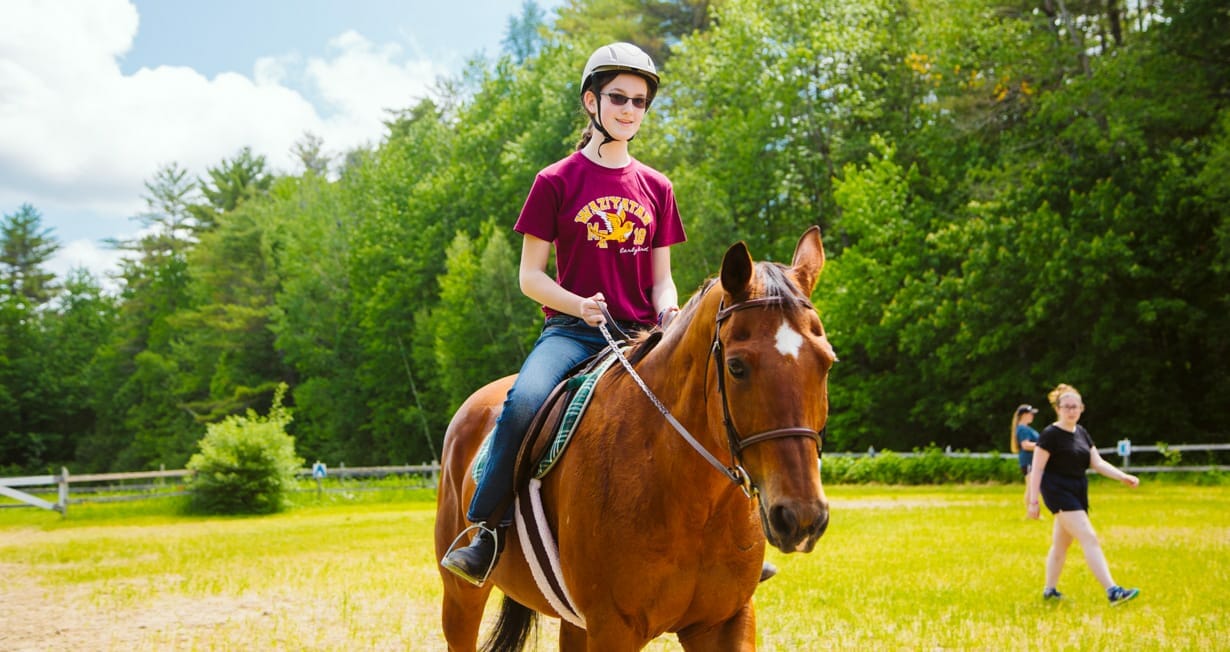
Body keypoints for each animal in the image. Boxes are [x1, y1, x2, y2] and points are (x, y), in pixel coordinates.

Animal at [435, 226, 836, 644]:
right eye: (736, 367)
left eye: (826, 362)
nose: (801, 517)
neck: (690, 501)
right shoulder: (613, 628)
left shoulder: (728, 620)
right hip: (461, 598)